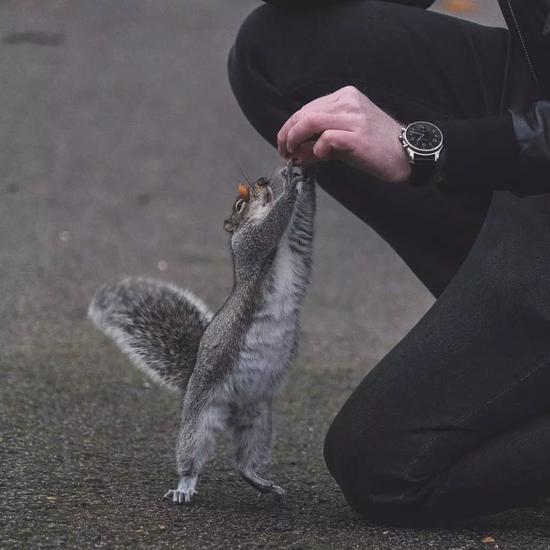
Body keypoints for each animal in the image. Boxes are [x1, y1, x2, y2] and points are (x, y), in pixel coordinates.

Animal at [88, 162, 316, 506]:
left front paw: (308, 175)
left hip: (258, 420)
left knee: (244, 462)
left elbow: (304, 223)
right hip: (199, 419)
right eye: (240, 204)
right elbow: (267, 230)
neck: (279, 250)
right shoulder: (248, 246)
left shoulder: (297, 244)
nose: (263, 181)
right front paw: (291, 184)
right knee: (192, 456)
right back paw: (184, 487)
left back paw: (262, 482)